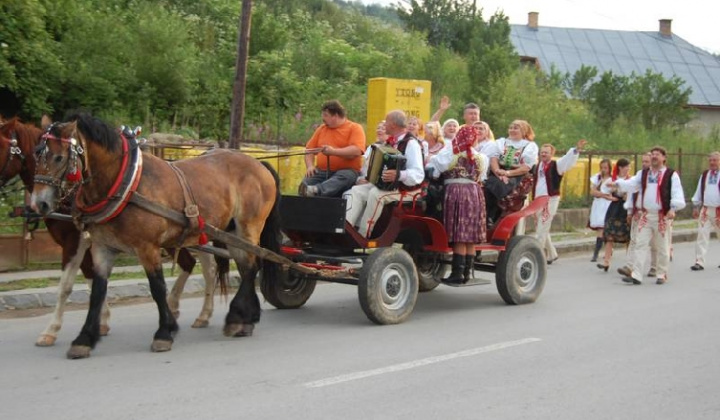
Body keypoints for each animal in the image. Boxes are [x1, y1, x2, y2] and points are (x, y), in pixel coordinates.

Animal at [0, 116, 219, 346]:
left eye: (59, 158)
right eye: (36, 154)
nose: (38, 204)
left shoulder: (75, 241)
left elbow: (66, 286)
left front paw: (51, 330)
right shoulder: (90, 243)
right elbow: (92, 281)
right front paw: (100, 322)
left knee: (203, 267)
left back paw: (192, 311)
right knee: (198, 264)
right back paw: (188, 311)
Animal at [33, 113, 282, 360]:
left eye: (58, 157)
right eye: (36, 154)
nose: (38, 204)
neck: (124, 184)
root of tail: (258, 163)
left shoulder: (147, 247)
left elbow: (157, 288)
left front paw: (164, 332)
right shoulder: (102, 247)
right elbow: (97, 291)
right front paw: (84, 339)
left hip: (248, 227)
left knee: (251, 267)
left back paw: (237, 318)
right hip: (231, 232)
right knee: (245, 267)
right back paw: (245, 319)